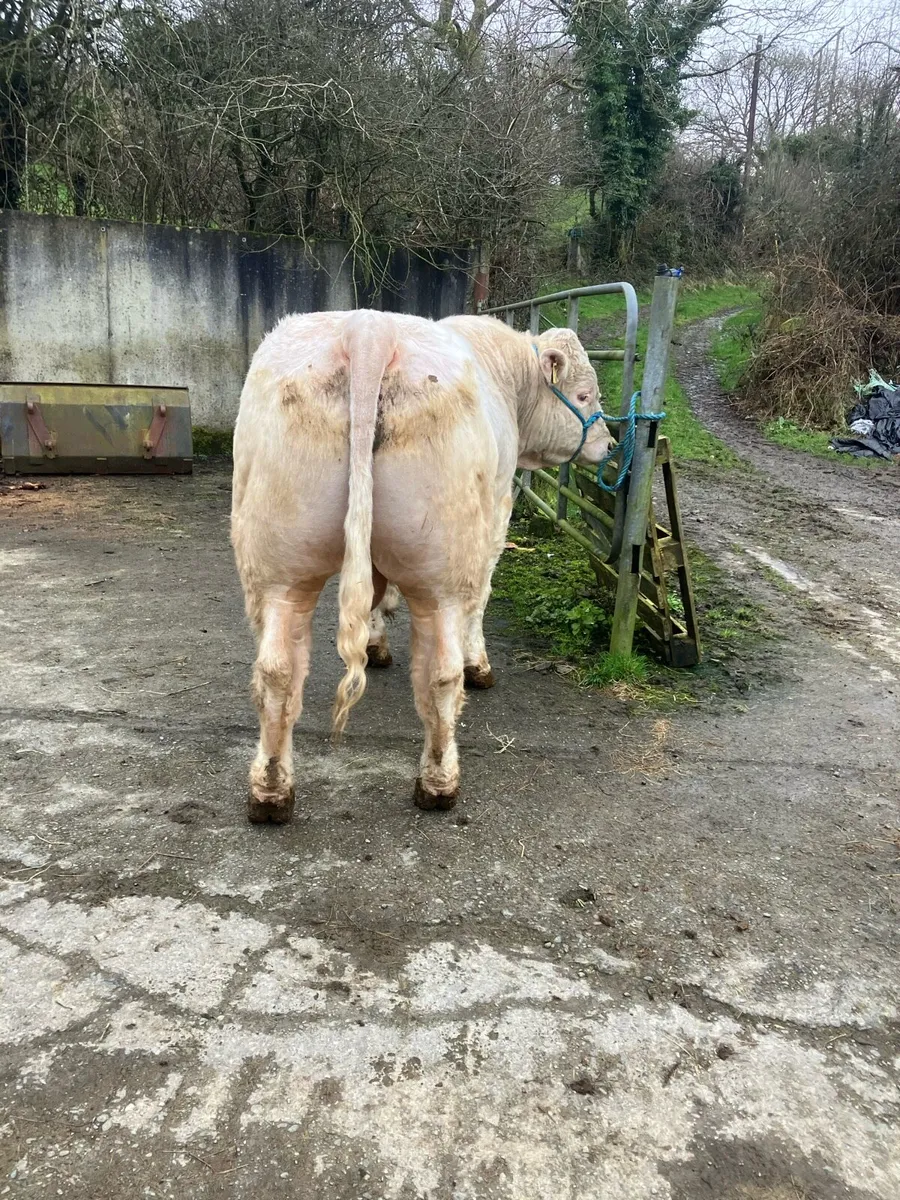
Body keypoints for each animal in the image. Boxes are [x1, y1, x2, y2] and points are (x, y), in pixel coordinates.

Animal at [230, 309, 613, 823]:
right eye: (585, 395)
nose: (608, 445)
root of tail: (368, 329)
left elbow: (376, 590)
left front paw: (375, 643)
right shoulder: (496, 511)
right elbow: (482, 598)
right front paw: (479, 664)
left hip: (280, 566)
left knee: (277, 671)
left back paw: (270, 791)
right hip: (444, 568)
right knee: (441, 673)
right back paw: (439, 781)